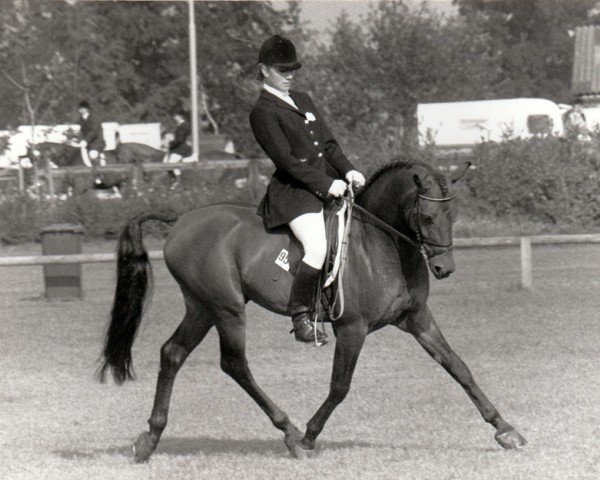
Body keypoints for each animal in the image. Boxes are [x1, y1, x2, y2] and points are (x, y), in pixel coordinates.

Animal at [98, 158, 524, 462]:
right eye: (427, 217)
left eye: (453, 216)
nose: (444, 269)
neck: (383, 245)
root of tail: (182, 218)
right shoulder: (352, 329)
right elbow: (340, 386)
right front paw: (308, 437)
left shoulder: (417, 319)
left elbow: (458, 368)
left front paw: (505, 429)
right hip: (226, 308)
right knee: (234, 363)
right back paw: (287, 431)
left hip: (201, 307)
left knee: (172, 353)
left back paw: (149, 439)